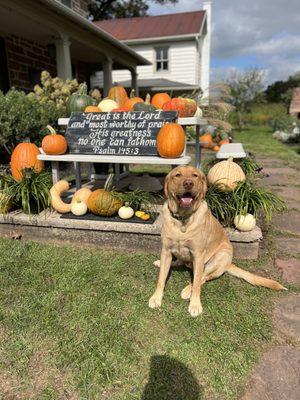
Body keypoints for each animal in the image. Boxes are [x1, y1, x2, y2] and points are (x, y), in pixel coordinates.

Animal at [149, 164, 284, 318]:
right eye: (177, 175)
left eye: (195, 175)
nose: (188, 183)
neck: (183, 219)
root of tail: (229, 264)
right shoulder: (166, 250)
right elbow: (161, 279)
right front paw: (156, 297)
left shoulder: (198, 255)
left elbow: (197, 282)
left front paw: (195, 305)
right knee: (180, 263)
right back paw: (163, 263)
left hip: (219, 257)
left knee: (202, 277)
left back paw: (187, 290)